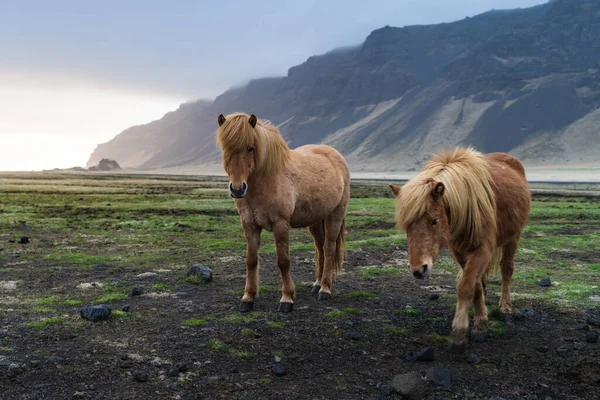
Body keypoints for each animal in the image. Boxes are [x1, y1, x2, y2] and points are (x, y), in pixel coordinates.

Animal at [216, 111, 350, 312]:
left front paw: (286, 298)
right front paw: (248, 298)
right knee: (319, 247)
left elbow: (283, 261)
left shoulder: (280, 225)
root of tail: (336, 155)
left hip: (335, 214)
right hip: (315, 219)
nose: (238, 189)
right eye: (225, 148)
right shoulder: (249, 225)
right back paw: (317, 284)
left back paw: (325, 289)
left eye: (250, 148)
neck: (266, 179)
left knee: (329, 249)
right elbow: (251, 260)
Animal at [390, 146, 528, 350]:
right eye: (407, 225)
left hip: (513, 237)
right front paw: (481, 320)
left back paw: (505, 308)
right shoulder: (460, 252)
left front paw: (460, 331)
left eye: (434, 220)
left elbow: (465, 286)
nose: (418, 270)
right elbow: (475, 286)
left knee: (507, 269)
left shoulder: (483, 250)